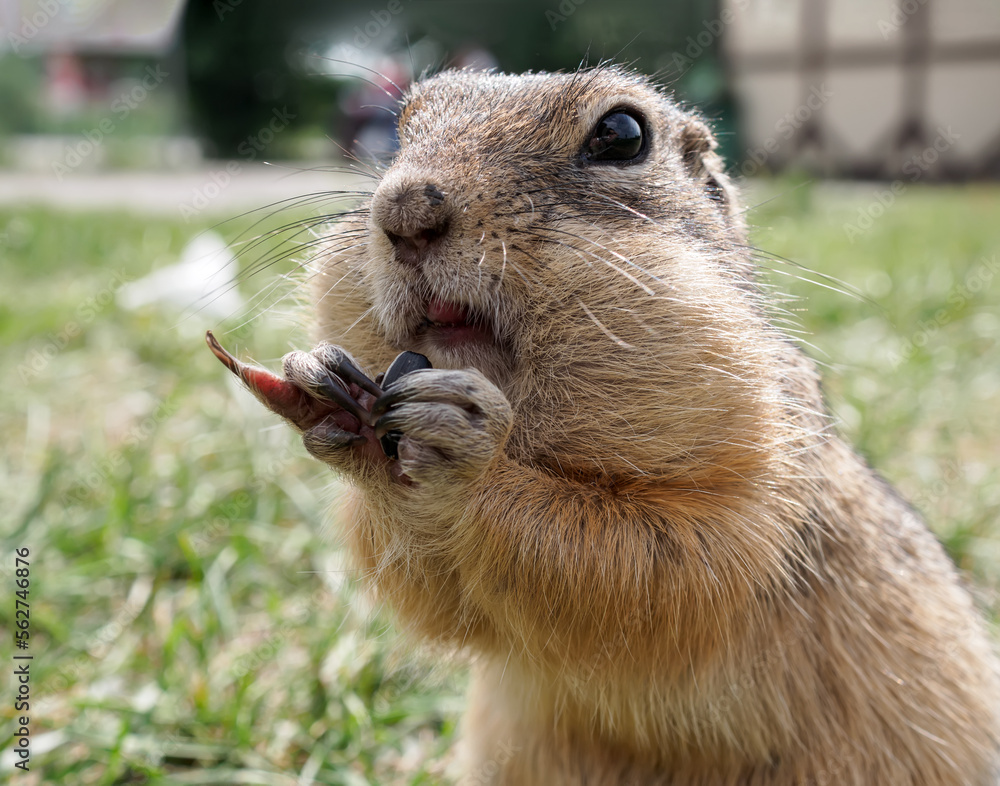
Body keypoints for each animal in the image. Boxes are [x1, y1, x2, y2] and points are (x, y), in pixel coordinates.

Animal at [207, 69, 996, 784]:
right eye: (403, 127)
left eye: (622, 134)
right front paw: (322, 386)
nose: (404, 207)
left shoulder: (759, 476)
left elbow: (662, 565)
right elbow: (436, 595)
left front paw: (469, 453)